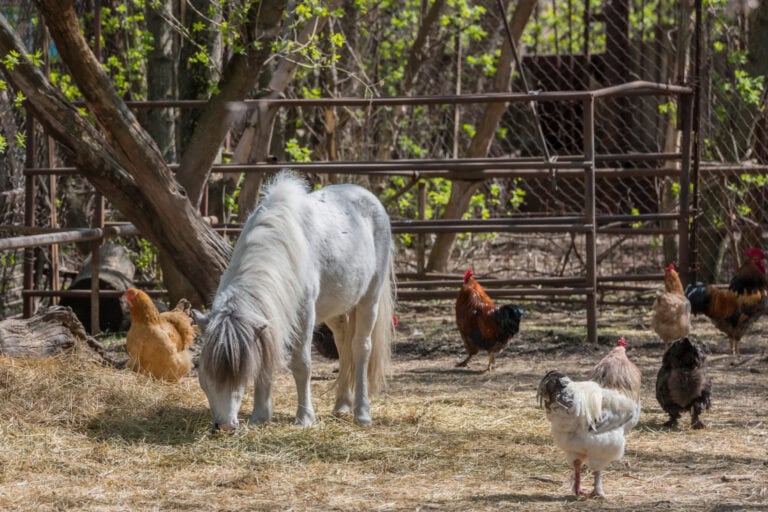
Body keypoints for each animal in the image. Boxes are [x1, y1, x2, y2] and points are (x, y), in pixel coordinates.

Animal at [197, 171, 395, 430]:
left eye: (239, 374)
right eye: (204, 375)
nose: (224, 426)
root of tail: (369, 197)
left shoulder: (304, 314)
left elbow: (302, 364)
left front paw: (304, 418)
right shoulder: (270, 318)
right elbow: (267, 361)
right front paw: (260, 416)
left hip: (369, 299)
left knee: (361, 348)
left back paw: (362, 414)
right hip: (335, 311)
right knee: (343, 345)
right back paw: (341, 406)